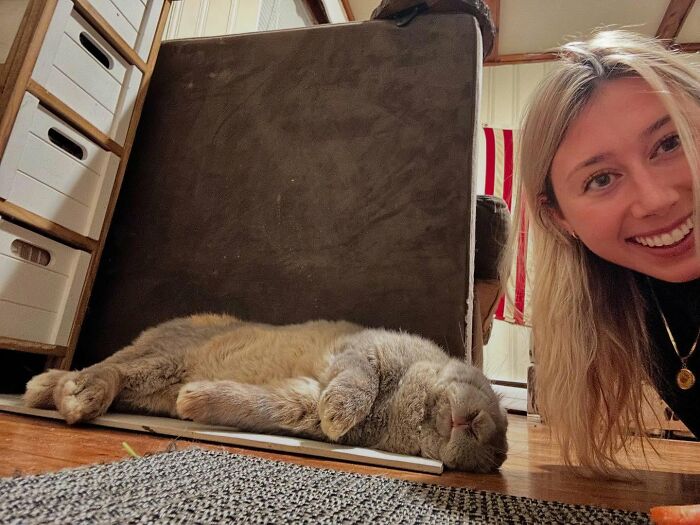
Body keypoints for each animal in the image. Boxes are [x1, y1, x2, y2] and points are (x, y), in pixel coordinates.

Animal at [24, 314, 508, 472]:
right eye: (491, 395)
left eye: (494, 458)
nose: (484, 433)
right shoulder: (364, 353)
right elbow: (358, 380)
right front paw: (339, 414)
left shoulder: (300, 400)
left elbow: (266, 404)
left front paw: (193, 401)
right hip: (163, 359)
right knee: (110, 369)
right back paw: (74, 392)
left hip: (150, 381)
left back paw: (46, 390)